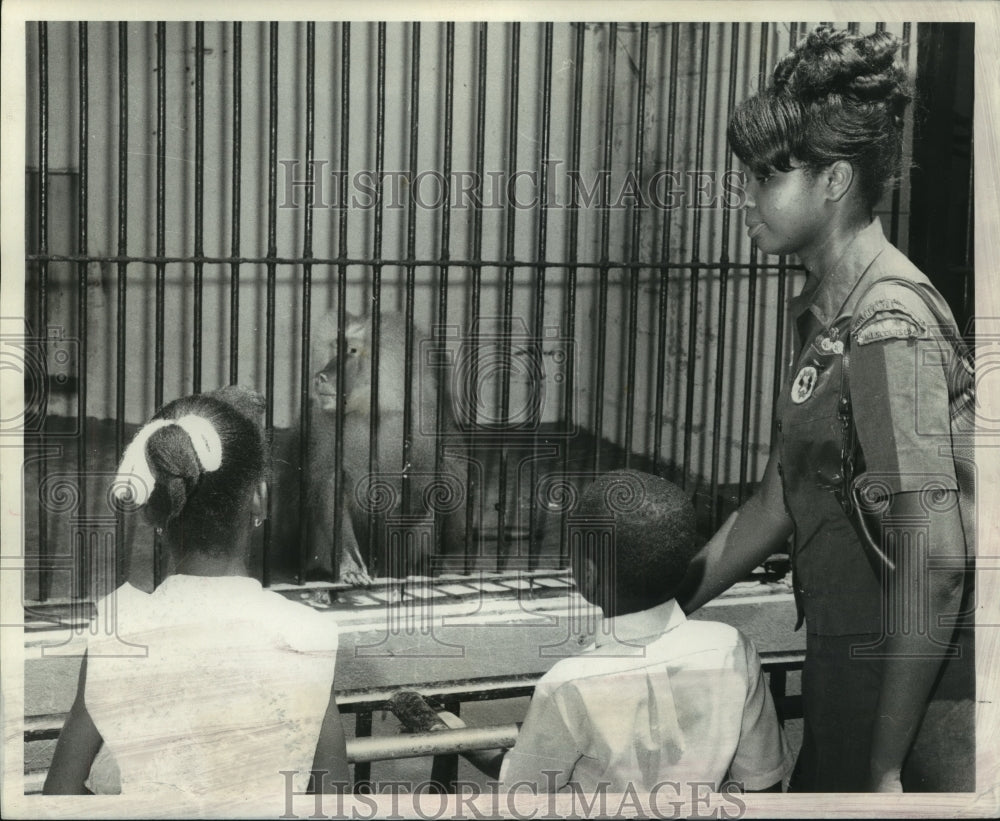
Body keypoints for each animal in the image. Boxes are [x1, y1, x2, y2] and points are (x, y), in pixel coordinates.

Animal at [23, 20, 940, 608]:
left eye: (346, 351)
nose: (316, 372)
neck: (378, 409)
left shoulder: (423, 426)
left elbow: (437, 487)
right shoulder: (326, 439)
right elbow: (324, 494)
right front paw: (342, 565)